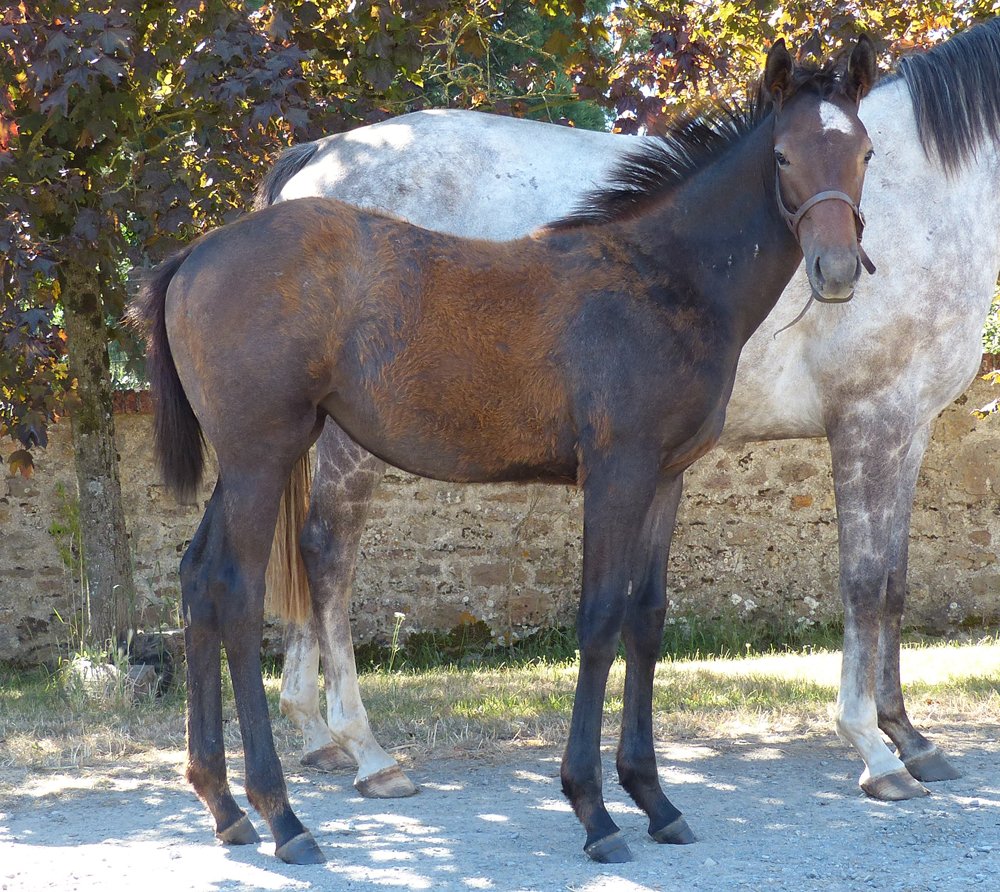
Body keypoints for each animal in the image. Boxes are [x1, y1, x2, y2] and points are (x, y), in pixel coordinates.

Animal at [131, 38, 876, 864]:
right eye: (782, 156)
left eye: (865, 153)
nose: (837, 270)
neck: (664, 277)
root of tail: (192, 259)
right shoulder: (616, 472)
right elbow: (598, 620)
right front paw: (593, 811)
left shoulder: (667, 476)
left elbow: (646, 619)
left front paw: (655, 799)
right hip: (263, 457)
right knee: (236, 592)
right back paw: (285, 816)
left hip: (243, 466)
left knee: (198, 580)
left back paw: (224, 805)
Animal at [262, 18, 1000, 809]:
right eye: (784, 157)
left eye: (867, 154)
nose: (835, 272)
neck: (928, 192)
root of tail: (319, 158)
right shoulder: (870, 420)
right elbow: (863, 584)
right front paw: (874, 747)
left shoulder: (909, 426)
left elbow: (893, 583)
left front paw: (912, 738)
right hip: (350, 439)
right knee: (329, 552)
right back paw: (367, 751)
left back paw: (319, 736)